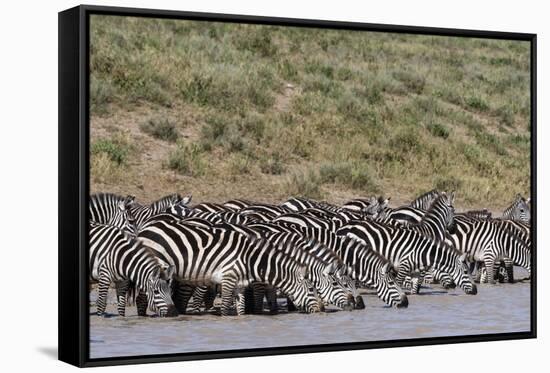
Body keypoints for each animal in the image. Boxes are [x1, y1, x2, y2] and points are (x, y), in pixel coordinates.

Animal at [137, 219, 324, 316]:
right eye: (310, 289)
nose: (317, 311)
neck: (250, 259)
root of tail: (145, 228)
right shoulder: (228, 278)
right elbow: (226, 307)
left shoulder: (240, 284)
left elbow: (241, 310)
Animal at [336, 218, 478, 294]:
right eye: (466, 272)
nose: (476, 291)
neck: (423, 252)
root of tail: (343, 227)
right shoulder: (404, 265)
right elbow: (398, 283)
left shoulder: (415, 271)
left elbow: (414, 289)